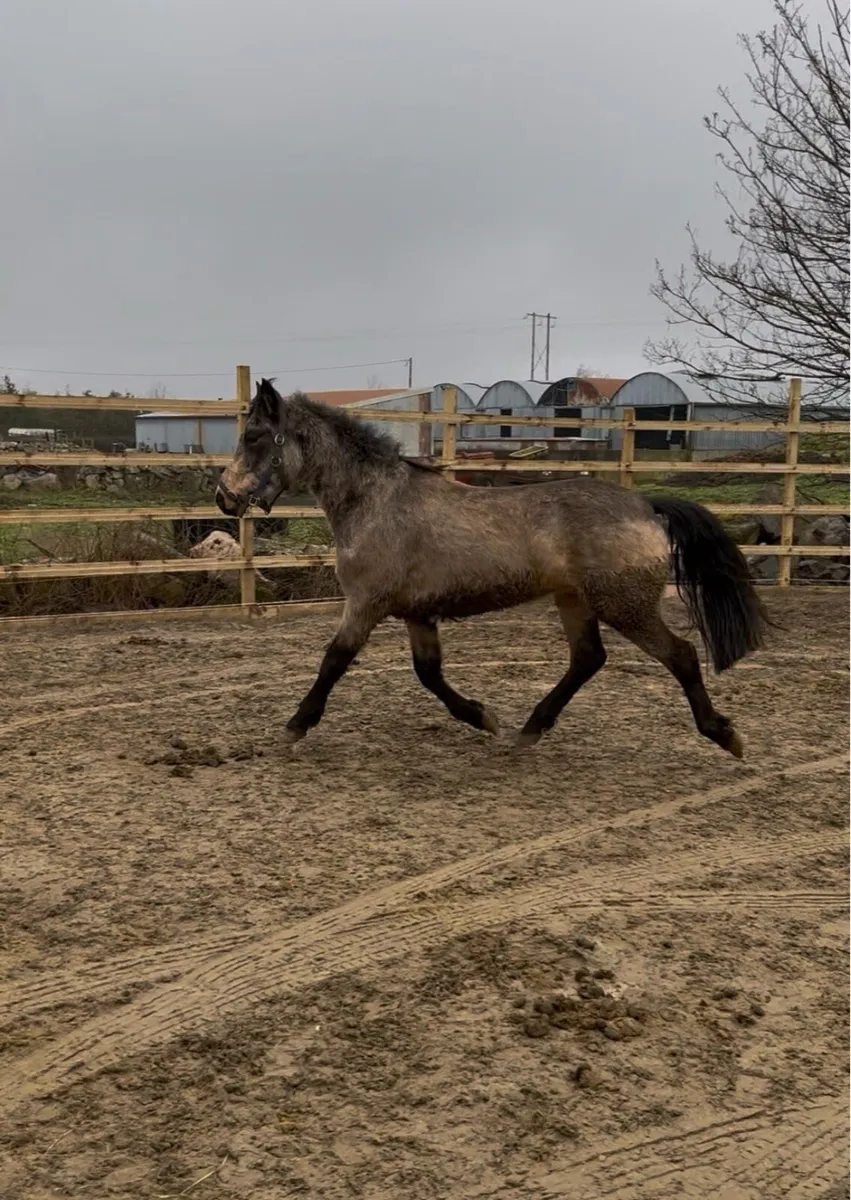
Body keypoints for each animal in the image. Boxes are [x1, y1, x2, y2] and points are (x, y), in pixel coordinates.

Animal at [216, 379, 767, 756]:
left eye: (256, 436)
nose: (224, 497)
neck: (377, 501)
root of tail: (645, 506)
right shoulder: (417, 614)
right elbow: (429, 674)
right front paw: (483, 717)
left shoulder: (366, 604)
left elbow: (334, 661)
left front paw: (296, 724)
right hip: (575, 601)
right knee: (588, 659)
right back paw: (530, 729)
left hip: (624, 605)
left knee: (681, 656)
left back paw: (725, 735)